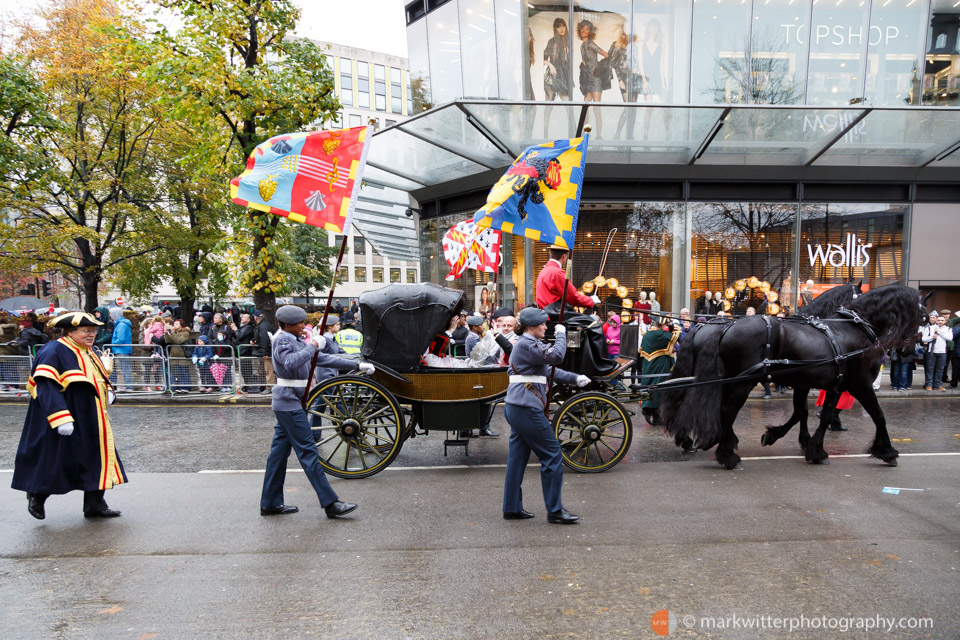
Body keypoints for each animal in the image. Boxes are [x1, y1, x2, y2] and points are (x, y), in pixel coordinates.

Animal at [664, 284, 928, 470]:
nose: (909, 350)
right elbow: (874, 415)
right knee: (725, 412)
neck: (854, 327)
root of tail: (721, 328)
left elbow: (803, 412)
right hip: (742, 382)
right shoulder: (857, 384)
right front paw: (886, 451)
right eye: (923, 316)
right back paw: (726, 455)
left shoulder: (813, 383)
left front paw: (789, 438)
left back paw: (709, 442)